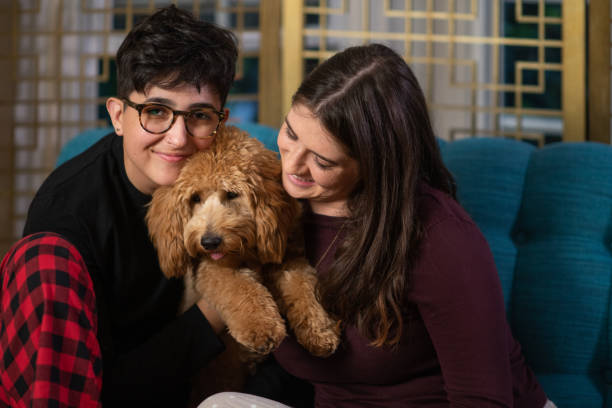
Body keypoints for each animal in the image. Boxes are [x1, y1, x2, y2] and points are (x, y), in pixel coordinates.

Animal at [146, 126, 342, 396]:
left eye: (232, 194)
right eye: (195, 198)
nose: (209, 241)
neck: (246, 252)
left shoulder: (287, 260)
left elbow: (302, 287)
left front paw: (320, 330)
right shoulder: (211, 269)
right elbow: (240, 288)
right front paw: (262, 328)